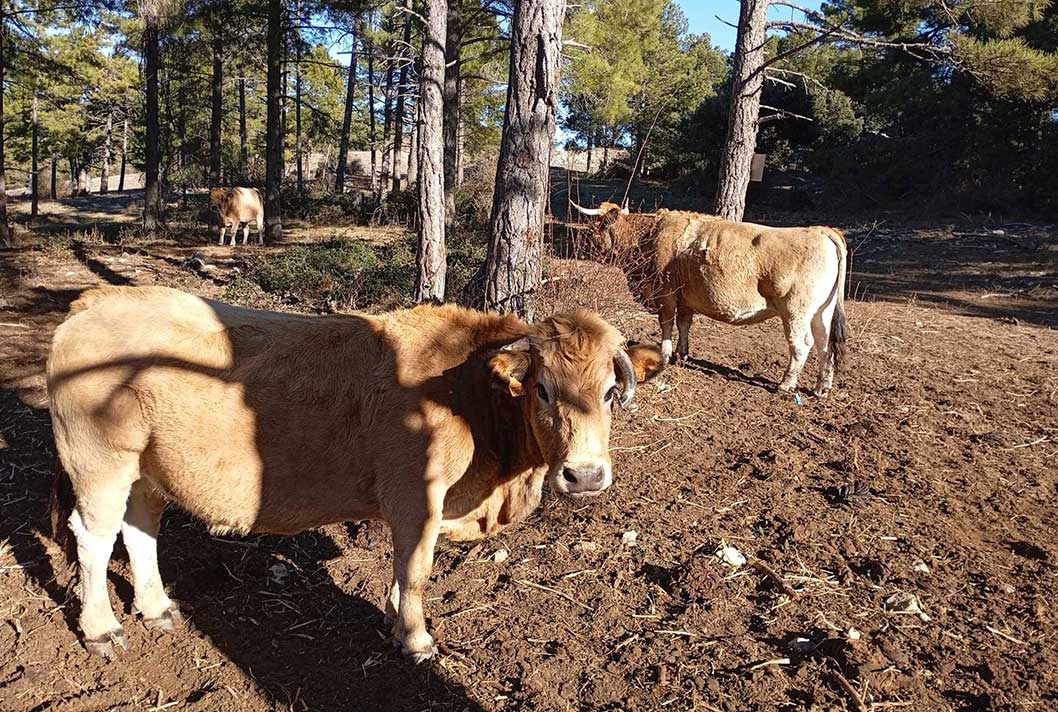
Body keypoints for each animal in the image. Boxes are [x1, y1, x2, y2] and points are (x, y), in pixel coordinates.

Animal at [49, 287, 664, 660]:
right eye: (542, 389)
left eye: (611, 392)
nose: (585, 475)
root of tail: (103, 298)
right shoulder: (416, 494)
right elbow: (416, 568)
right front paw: (415, 638)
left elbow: (403, 569)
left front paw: (394, 616)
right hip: (99, 461)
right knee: (93, 539)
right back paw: (102, 628)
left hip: (147, 469)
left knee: (139, 530)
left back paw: (156, 608)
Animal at [571, 201, 850, 393]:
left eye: (593, 228)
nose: (578, 247)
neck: (649, 236)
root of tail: (822, 231)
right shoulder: (685, 298)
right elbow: (684, 324)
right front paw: (682, 355)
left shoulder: (665, 293)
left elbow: (666, 323)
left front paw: (666, 354)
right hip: (821, 312)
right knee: (825, 345)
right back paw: (822, 387)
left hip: (796, 311)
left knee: (802, 345)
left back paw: (785, 384)